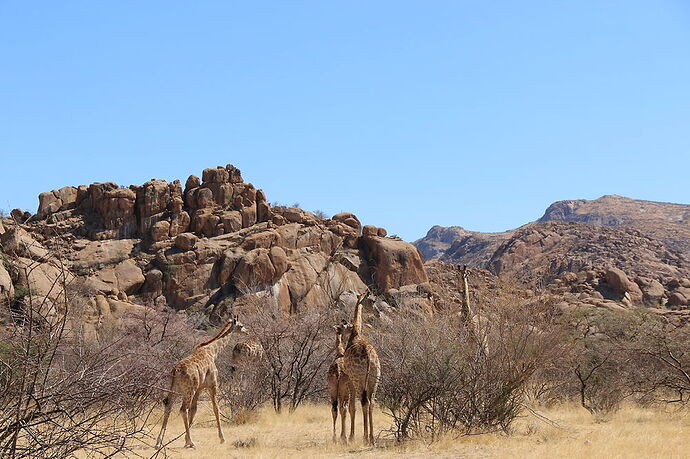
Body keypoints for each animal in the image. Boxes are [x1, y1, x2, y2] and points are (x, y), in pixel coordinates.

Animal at [154, 316, 247, 450]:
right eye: (241, 325)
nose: (247, 331)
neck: (213, 352)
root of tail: (175, 371)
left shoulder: (199, 388)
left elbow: (194, 409)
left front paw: (184, 439)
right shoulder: (212, 385)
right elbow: (216, 408)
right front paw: (222, 438)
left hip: (174, 389)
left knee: (168, 407)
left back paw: (158, 442)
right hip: (189, 390)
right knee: (183, 409)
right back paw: (191, 442)